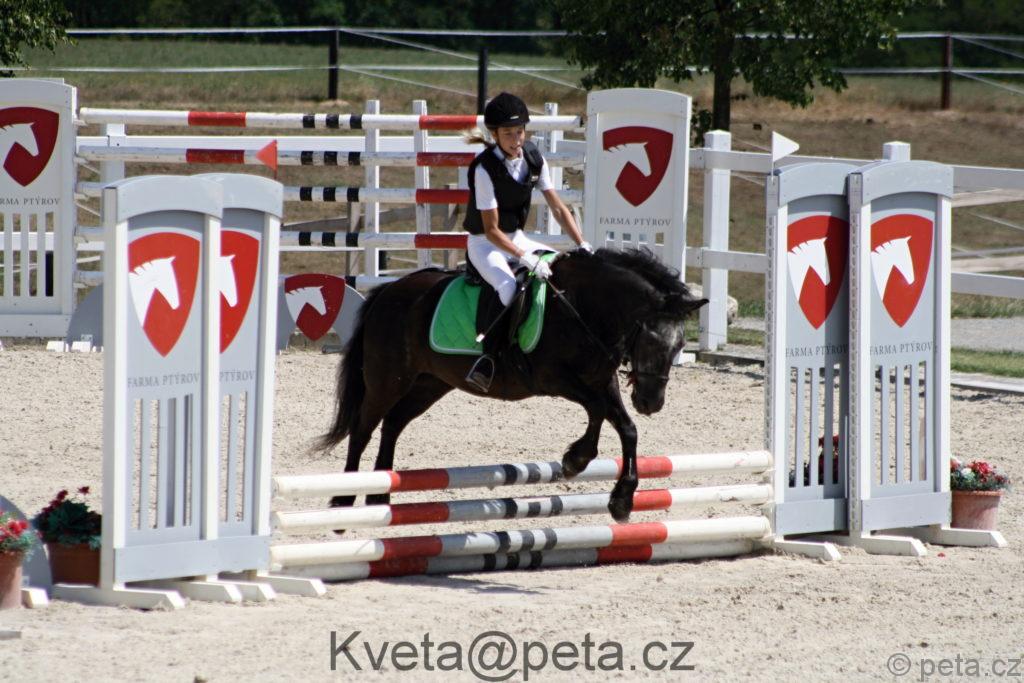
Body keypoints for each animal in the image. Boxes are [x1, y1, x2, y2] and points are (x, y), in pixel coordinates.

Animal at [317, 248, 708, 523]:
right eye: (653, 341)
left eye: (680, 345)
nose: (651, 401)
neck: (584, 307)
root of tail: (387, 291)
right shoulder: (555, 378)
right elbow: (599, 410)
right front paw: (577, 459)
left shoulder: (600, 379)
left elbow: (626, 427)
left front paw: (620, 498)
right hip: (387, 379)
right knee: (363, 429)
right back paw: (344, 500)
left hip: (429, 383)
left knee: (393, 425)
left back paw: (380, 496)